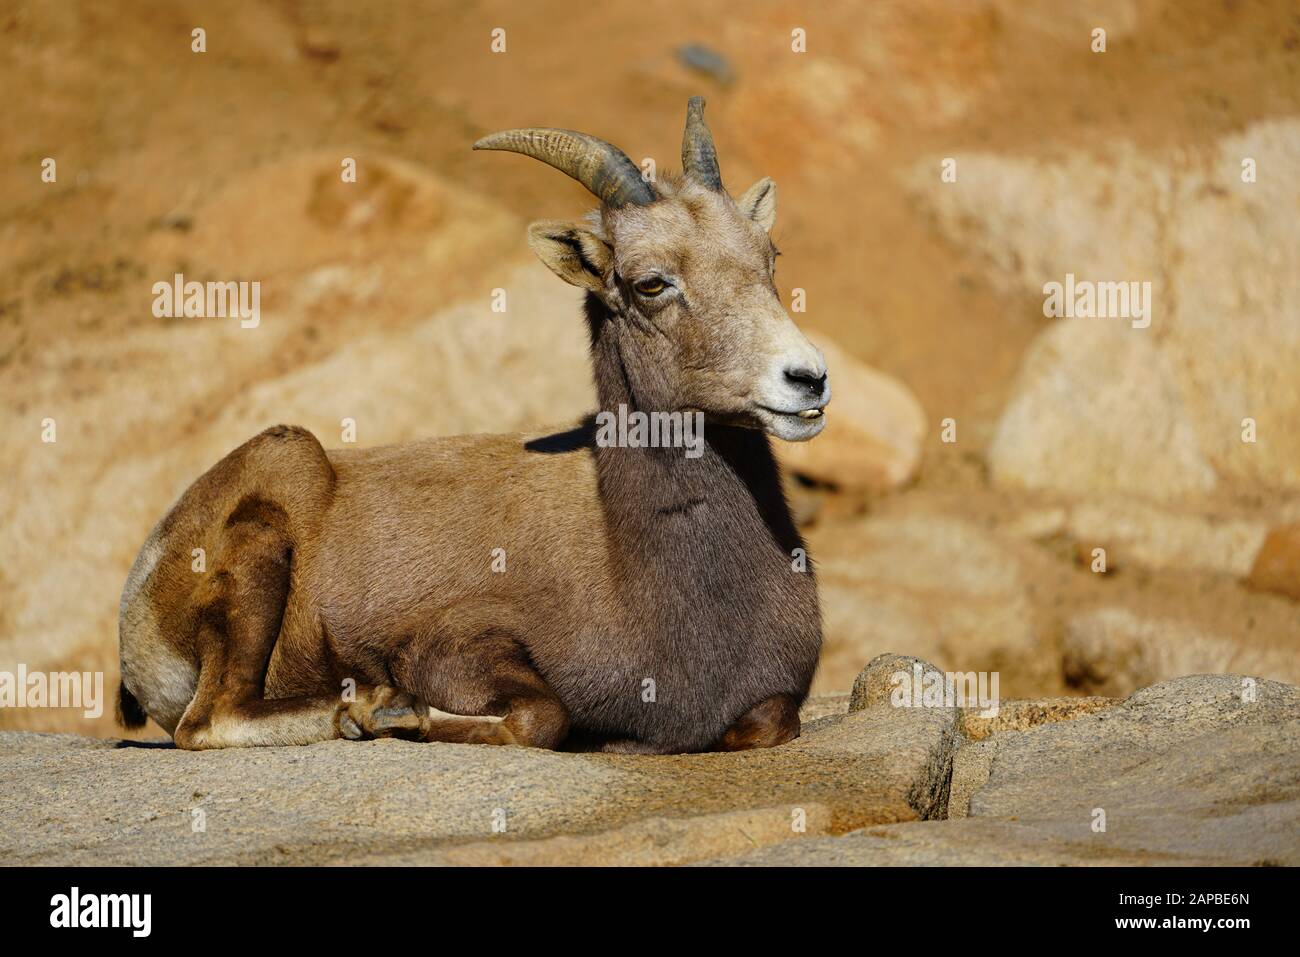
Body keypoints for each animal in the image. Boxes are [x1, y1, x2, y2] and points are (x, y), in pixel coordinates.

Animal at [122, 98, 832, 754]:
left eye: (768, 255)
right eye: (650, 283)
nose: (807, 380)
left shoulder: (770, 707)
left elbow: (767, 724)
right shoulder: (452, 645)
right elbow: (541, 718)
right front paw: (392, 712)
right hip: (273, 503)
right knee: (207, 723)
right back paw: (362, 710)